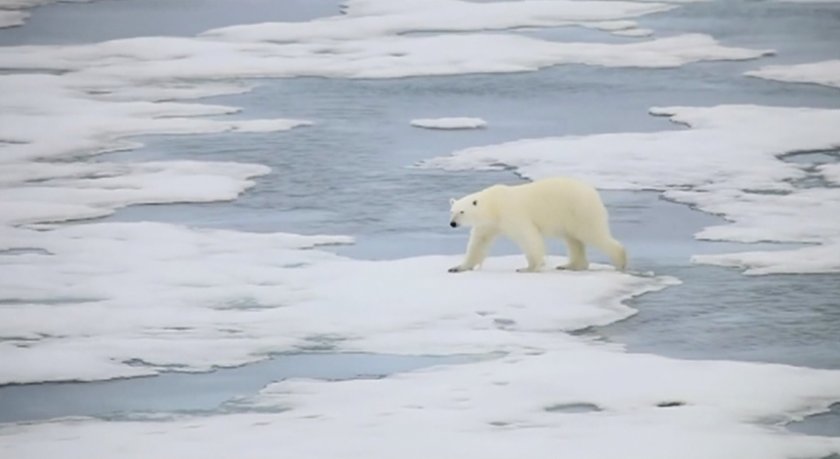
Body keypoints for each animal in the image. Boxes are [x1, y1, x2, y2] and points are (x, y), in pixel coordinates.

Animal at [450, 178, 628, 274]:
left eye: (462, 211)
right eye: (452, 211)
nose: (452, 223)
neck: (494, 205)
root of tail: (594, 193)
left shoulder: (511, 213)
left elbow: (528, 236)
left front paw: (529, 268)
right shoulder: (489, 224)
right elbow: (479, 243)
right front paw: (458, 267)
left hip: (580, 210)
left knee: (592, 234)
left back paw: (620, 261)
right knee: (573, 240)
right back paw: (570, 265)